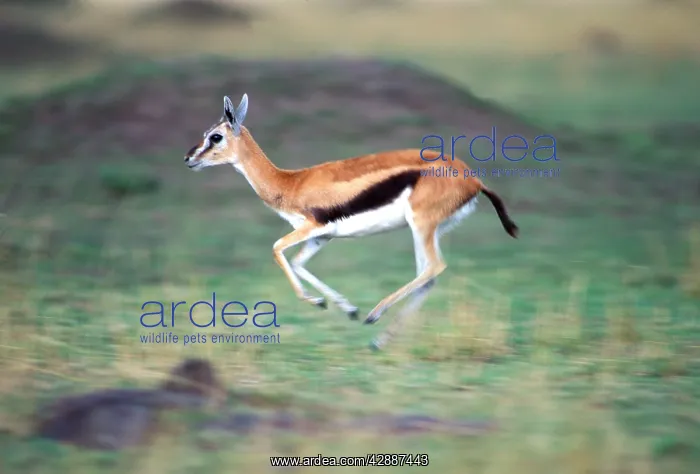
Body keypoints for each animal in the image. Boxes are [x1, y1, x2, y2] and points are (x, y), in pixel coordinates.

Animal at [184, 94, 519, 350]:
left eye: (216, 136)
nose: (189, 158)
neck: (290, 183)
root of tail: (473, 179)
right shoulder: (322, 236)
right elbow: (299, 263)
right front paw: (342, 307)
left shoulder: (312, 227)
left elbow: (278, 249)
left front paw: (324, 303)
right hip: (429, 230)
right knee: (428, 276)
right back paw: (379, 340)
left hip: (421, 225)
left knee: (434, 267)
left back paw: (375, 315)